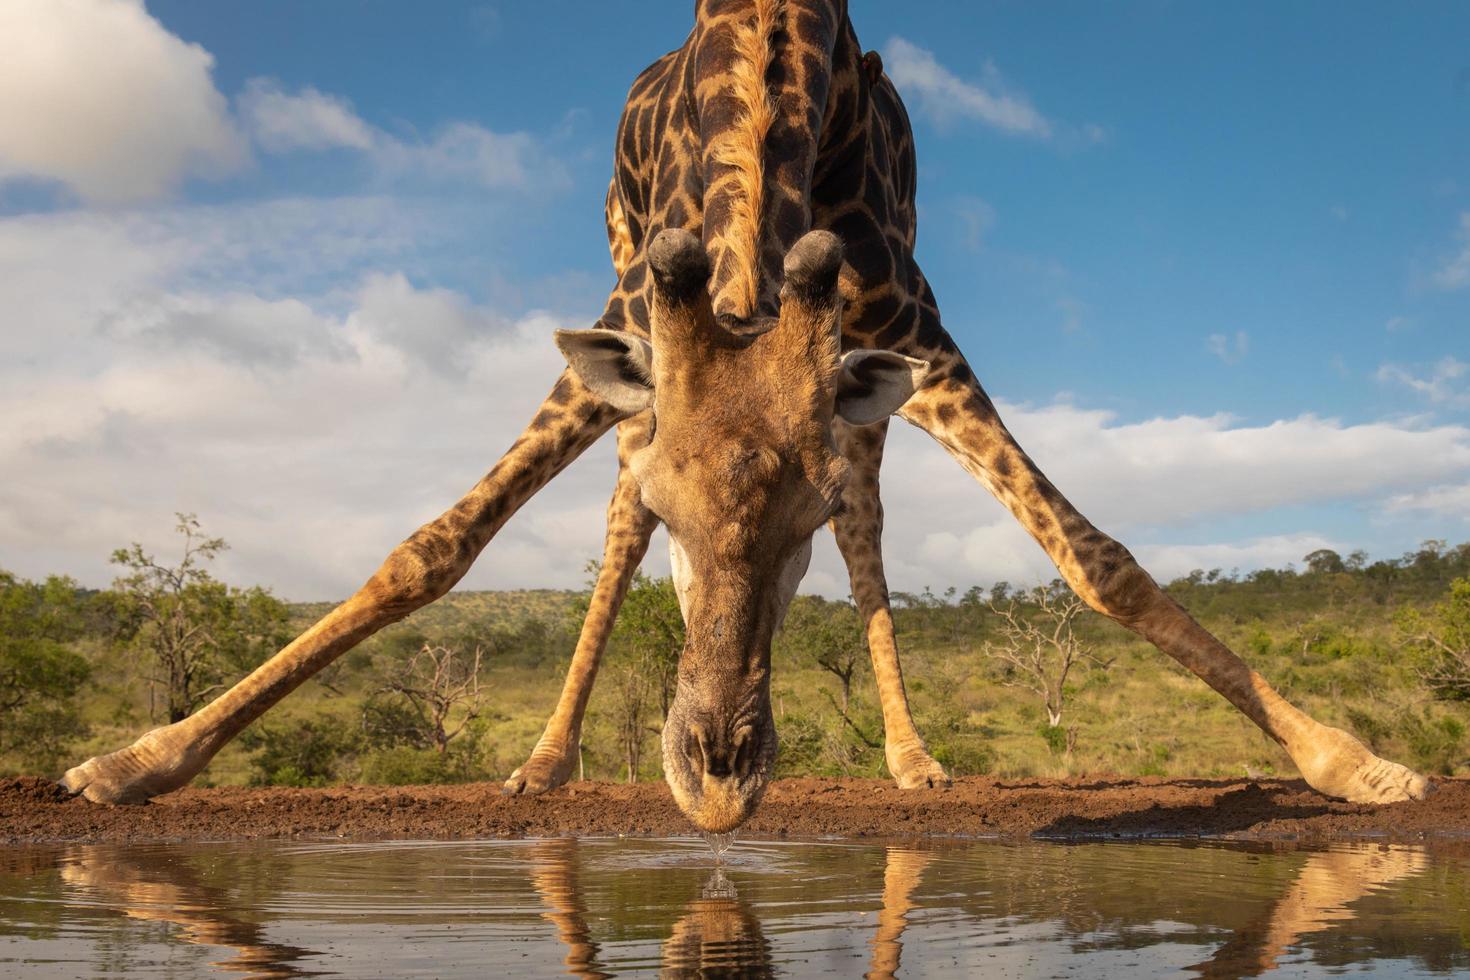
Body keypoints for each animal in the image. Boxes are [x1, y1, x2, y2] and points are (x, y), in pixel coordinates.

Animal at [63, 0, 1428, 834]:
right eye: (681, 503)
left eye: (798, 518)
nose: (716, 785)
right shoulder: (624, 339)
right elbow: (431, 549)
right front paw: (136, 760)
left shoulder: (912, 330)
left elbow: (1096, 557)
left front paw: (1352, 760)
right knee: (601, 530)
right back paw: (546, 760)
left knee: (881, 528)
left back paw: (912, 759)